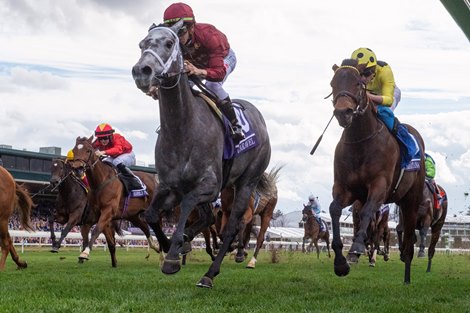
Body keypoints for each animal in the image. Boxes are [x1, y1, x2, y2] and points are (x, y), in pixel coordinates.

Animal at [69, 136, 159, 266]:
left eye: (88, 150)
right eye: (74, 151)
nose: (77, 169)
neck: (101, 181)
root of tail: (154, 179)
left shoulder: (108, 211)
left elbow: (96, 230)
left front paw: (85, 253)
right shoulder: (95, 214)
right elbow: (89, 232)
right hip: (133, 215)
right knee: (145, 228)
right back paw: (157, 247)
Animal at [132, 20, 272, 288]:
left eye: (169, 43)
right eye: (142, 44)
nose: (141, 71)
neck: (183, 129)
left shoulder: (209, 185)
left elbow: (188, 205)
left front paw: (173, 257)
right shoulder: (169, 186)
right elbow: (151, 214)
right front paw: (173, 245)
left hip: (246, 182)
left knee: (231, 226)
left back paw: (209, 273)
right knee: (208, 219)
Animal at [328, 59, 424, 282]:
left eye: (357, 84)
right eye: (332, 84)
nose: (343, 112)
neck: (360, 141)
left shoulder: (379, 185)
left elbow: (368, 211)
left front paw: (355, 249)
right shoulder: (345, 188)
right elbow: (334, 209)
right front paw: (340, 263)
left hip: (412, 197)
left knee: (408, 232)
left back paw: (407, 268)